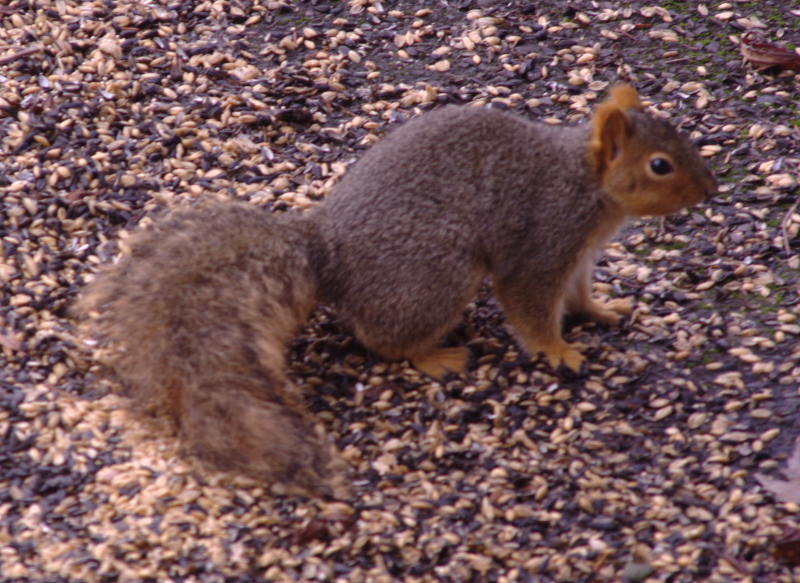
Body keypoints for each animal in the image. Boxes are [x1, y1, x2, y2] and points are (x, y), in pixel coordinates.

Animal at [76, 84, 717, 496]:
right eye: (660, 165)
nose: (711, 189)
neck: (588, 186)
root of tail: (327, 256)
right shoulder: (542, 245)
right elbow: (531, 308)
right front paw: (557, 352)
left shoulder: (579, 257)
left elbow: (579, 297)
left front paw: (605, 310)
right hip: (438, 277)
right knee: (383, 340)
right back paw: (435, 356)